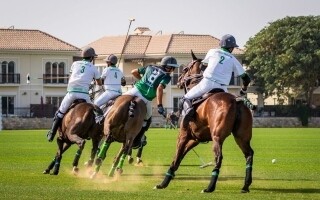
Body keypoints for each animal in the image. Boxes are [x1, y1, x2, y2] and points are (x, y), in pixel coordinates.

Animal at [154, 51, 254, 194]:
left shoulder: (183, 135)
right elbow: (180, 157)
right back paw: (245, 185)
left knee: (219, 157)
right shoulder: (196, 138)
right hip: (241, 137)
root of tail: (236, 101)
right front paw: (167, 180)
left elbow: (176, 157)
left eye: (185, 69)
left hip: (217, 136)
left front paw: (162, 183)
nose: (178, 82)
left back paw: (210, 187)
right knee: (249, 154)